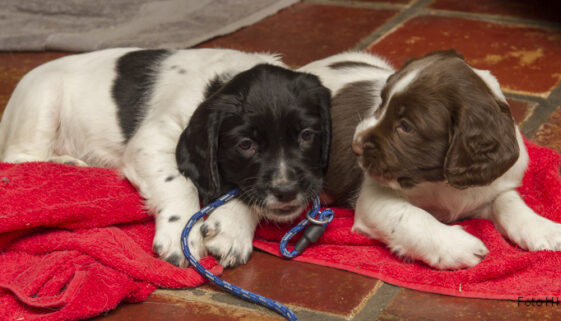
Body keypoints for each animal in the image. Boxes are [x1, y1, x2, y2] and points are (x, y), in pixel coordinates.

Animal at [0, 48, 330, 268]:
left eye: (306, 136)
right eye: (246, 145)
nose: (287, 191)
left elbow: (239, 188)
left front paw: (232, 227)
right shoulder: (152, 139)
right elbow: (180, 183)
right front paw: (181, 232)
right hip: (42, 102)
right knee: (19, 158)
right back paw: (66, 165)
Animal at [300, 50, 560, 268]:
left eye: (405, 127)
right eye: (382, 103)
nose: (354, 147)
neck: (441, 182)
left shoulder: (490, 184)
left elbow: (509, 202)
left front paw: (543, 230)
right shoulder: (375, 198)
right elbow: (411, 217)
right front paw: (456, 245)